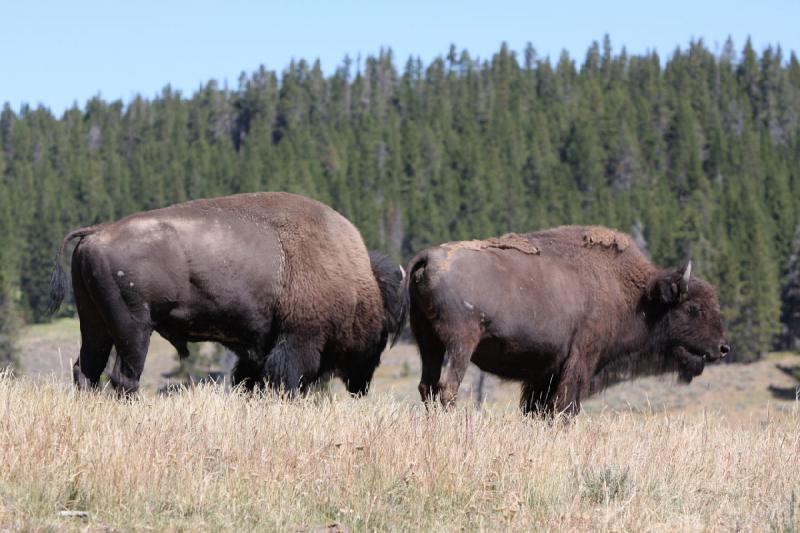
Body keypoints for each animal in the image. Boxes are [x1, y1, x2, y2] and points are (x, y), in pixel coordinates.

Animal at [47, 191, 406, 394]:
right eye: (382, 331)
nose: (364, 382)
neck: (357, 281)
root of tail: (97, 232)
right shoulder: (298, 341)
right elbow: (284, 381)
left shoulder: (257, 351)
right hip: (133, 329)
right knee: (124, 377)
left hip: (95, 324)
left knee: (87, 370)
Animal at [410, 224, 728, 416]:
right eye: (693, 308)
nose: (723, 348)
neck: (636, 296)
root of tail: (428, 257)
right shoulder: (580, 361)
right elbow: (564, 408)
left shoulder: (545, 374)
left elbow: (537, 409)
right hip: (461, 344)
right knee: (447, 388)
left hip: (428, 344)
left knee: (427, 387)